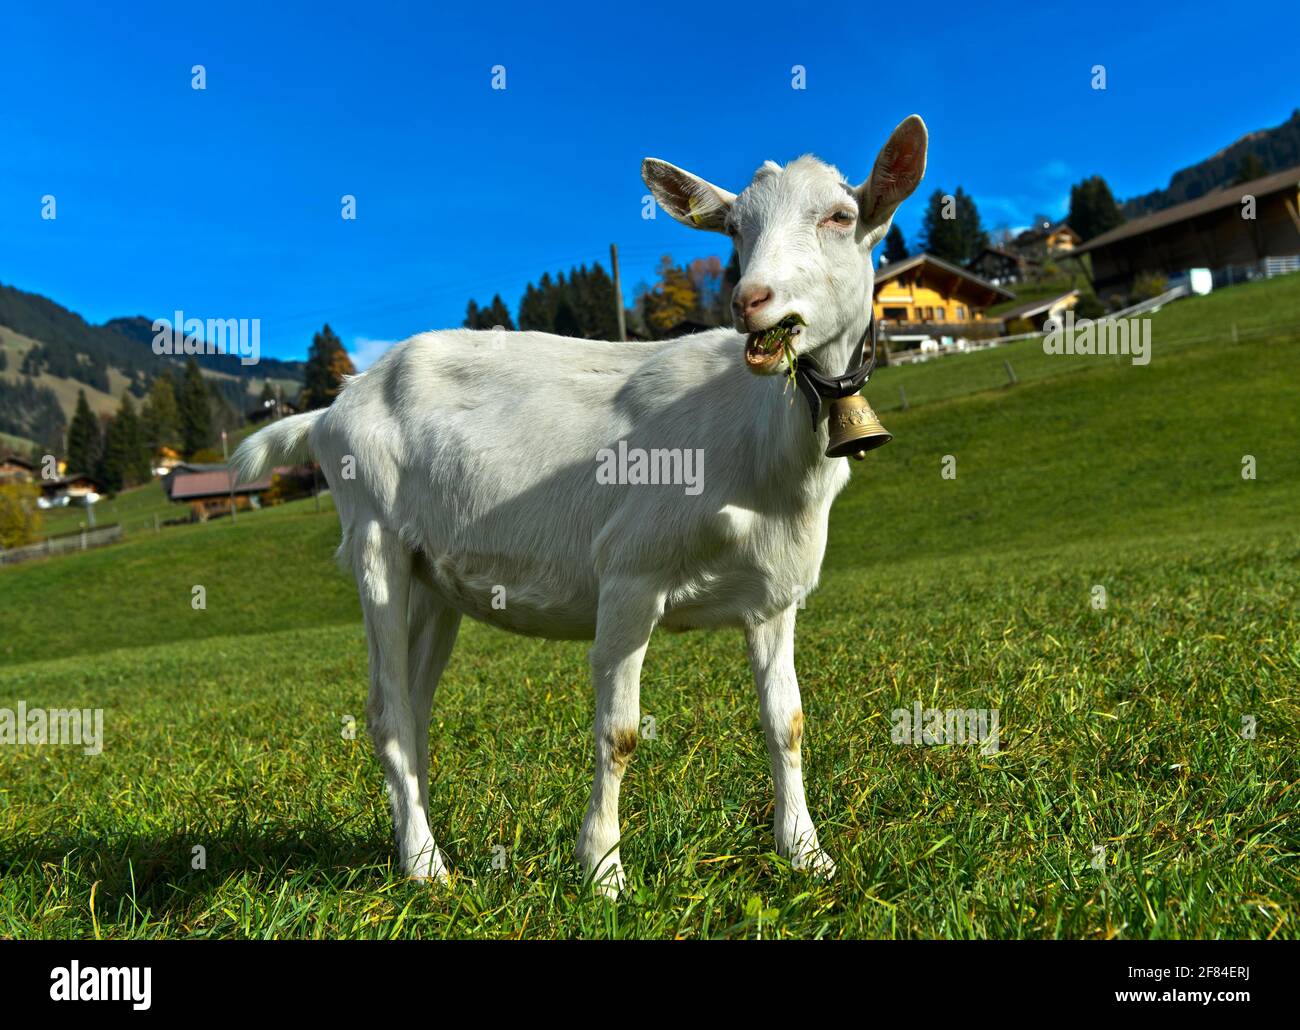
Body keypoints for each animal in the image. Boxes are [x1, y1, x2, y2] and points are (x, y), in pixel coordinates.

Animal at [231, 118, 925, 894]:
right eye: (735, 230)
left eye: (839, 216)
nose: (752, 300)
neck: (759, 445)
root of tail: (331, 409)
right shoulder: (629, 574)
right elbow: (619, 732)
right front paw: (603, 871)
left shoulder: (775, 596)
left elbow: (788, 722)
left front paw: (806, 853)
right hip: (373, 539)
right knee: (385, 711)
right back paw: (425, 868)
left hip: (429, 576)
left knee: (414, 709)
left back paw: (421, 846)